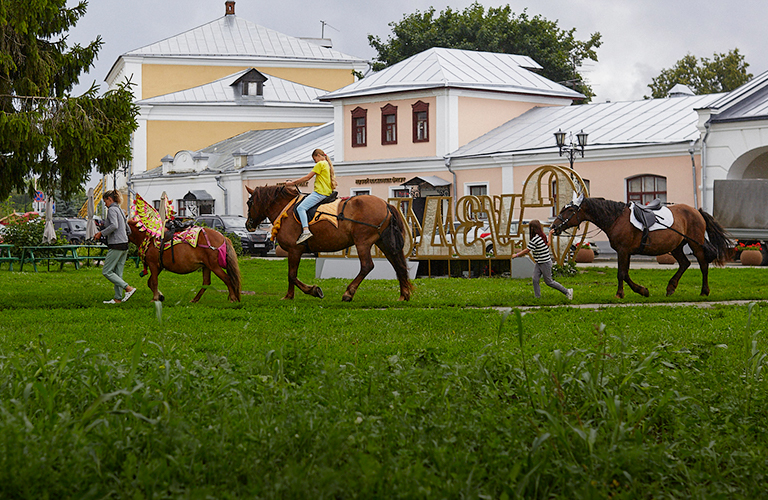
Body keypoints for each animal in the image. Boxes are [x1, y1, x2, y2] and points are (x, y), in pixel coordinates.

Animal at [246, 184, 414, 300]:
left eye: (249, 203)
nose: (248, 224)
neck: (286, 210)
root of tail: (386, 204)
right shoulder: (293, 251)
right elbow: (291, 275)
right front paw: (290, 295)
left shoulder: (295, 250)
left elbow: (292, 275)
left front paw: (312, 290)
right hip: (383, 242)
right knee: (397, 264)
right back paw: (404, 294)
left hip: (363, 242)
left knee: (367, 266)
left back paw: (348, 293)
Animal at [552, 195, 732, 296]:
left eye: (569, 211)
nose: (554, 227)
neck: (616, 218)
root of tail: (696, 211)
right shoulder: (625, 252)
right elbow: (624, 273)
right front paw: (637, 291)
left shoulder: (623, 251)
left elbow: (622, 274)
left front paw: (626, 293)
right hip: (676, 246)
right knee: (684, 263)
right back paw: (671, 287)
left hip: (695, 244)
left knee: (703, 265)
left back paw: (704, 291)